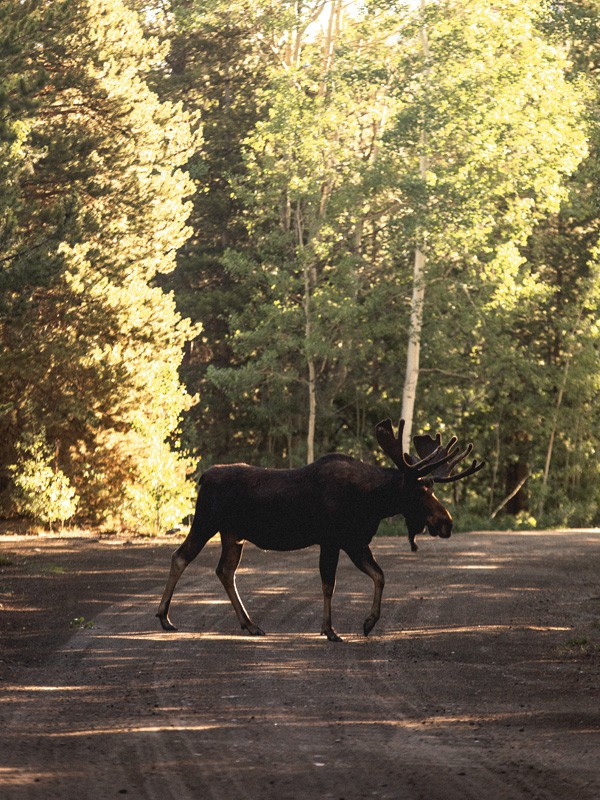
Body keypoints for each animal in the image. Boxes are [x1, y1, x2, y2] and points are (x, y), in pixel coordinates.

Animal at [155, 418, 482, 636]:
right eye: (420, 491)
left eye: (432, 488)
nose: (446, 522)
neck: (372, 501)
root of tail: (203, 477)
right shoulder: (333, 539)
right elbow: (329, 584)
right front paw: (330, 629)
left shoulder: (355, 541)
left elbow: (379, 576)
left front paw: (368, 622)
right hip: (206, 521)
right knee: (180, 557)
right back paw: (164, 617)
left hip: (233, 535)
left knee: (224, 570)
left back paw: (250, 623)